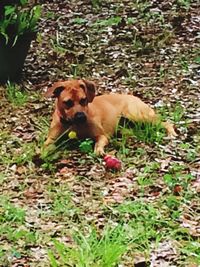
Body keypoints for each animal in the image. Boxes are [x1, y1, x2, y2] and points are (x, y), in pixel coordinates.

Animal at [44, 79, 177, 155]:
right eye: (68, 102)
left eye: (84, 100)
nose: (81, 116)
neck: (73, 125)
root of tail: (133, 96)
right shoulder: (51, 139)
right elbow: (45, 146)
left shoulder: (101, 135)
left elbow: (98, 143)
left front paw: (98, 150)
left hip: (137, 115)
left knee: (165, 122)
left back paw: (171, 132)